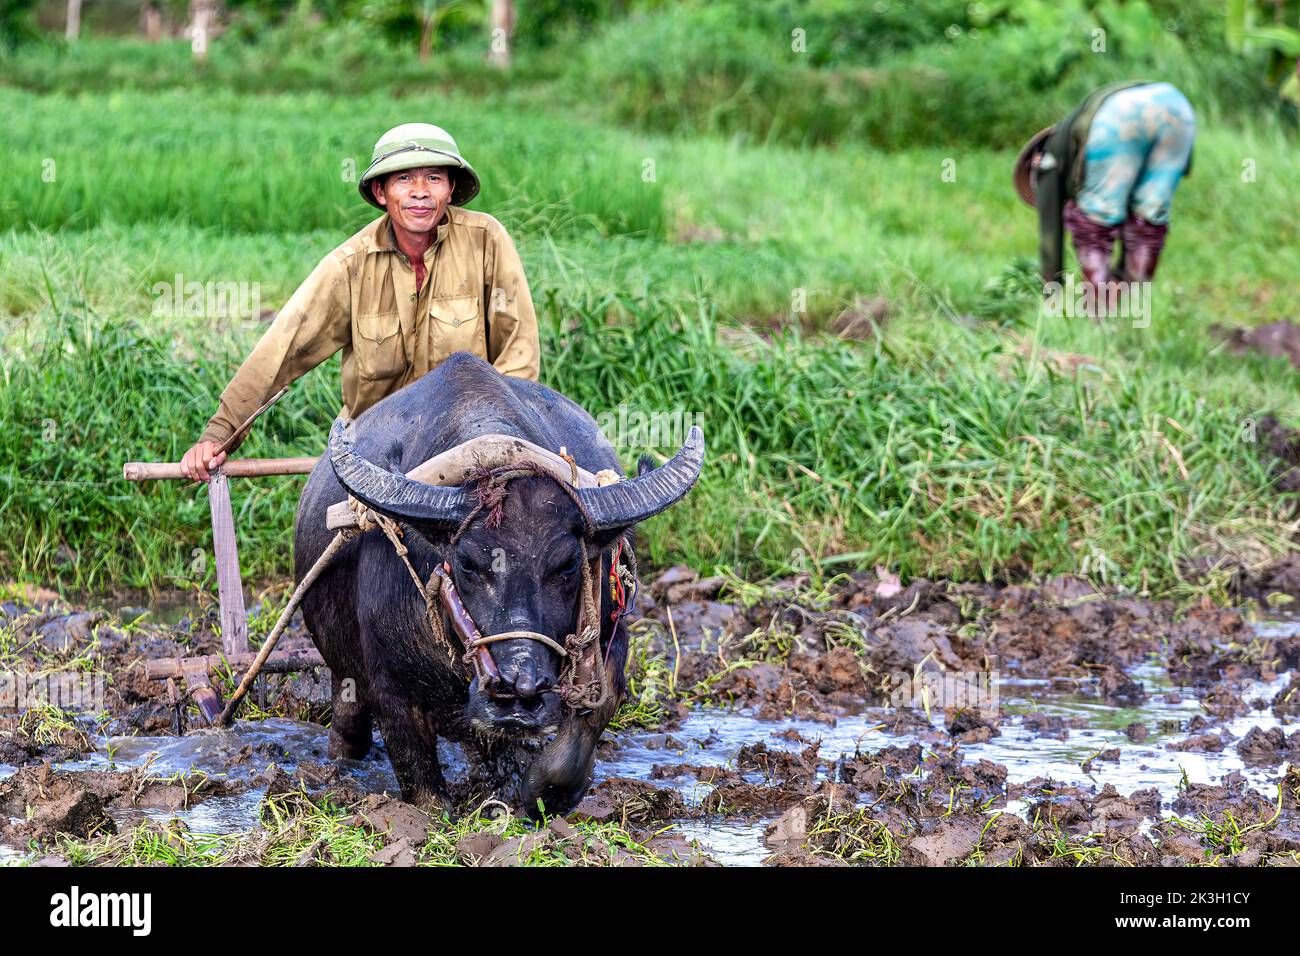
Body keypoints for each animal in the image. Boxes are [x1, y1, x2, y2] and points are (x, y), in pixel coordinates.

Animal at [297, 353, 702, 816]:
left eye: (566, 566)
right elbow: (421, 784)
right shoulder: (390, 687)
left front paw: (547, 792)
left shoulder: (609, 640)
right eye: (468, 564)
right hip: (342, 675)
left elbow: (594, 713)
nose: (518, 691)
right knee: (349, 721)